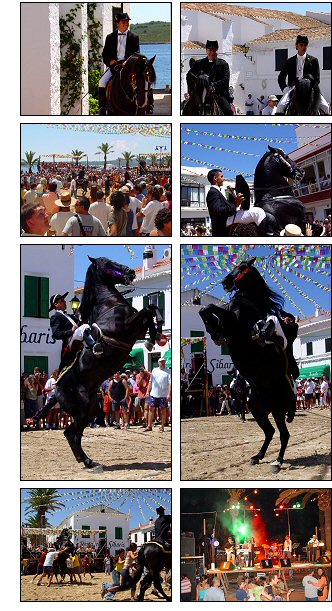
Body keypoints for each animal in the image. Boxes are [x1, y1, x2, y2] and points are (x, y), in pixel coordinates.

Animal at [54, 256, 163, 470]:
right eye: (107, 263)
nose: (130, 272)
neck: (109, 305)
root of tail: (55, 388)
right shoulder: (128, 326)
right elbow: (147, 310)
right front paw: (156, 332)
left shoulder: (137, 329)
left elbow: (151, 311)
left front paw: (155, 334)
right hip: (84, 409)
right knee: (72, 433)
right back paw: (88, 462)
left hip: (91, 409)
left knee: (73, 434)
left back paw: (87, 461)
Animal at [198, 258, 296, 474]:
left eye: (243, 268)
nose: (226, 281)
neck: (249, 302)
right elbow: (205, 308)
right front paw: (213, 330)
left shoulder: (235, 324)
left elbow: (211, 306)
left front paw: (215, 330)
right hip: (258, 409)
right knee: (269, 432)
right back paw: (257, 456)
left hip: (278, 410)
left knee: (283, 434)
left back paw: (277, 462)